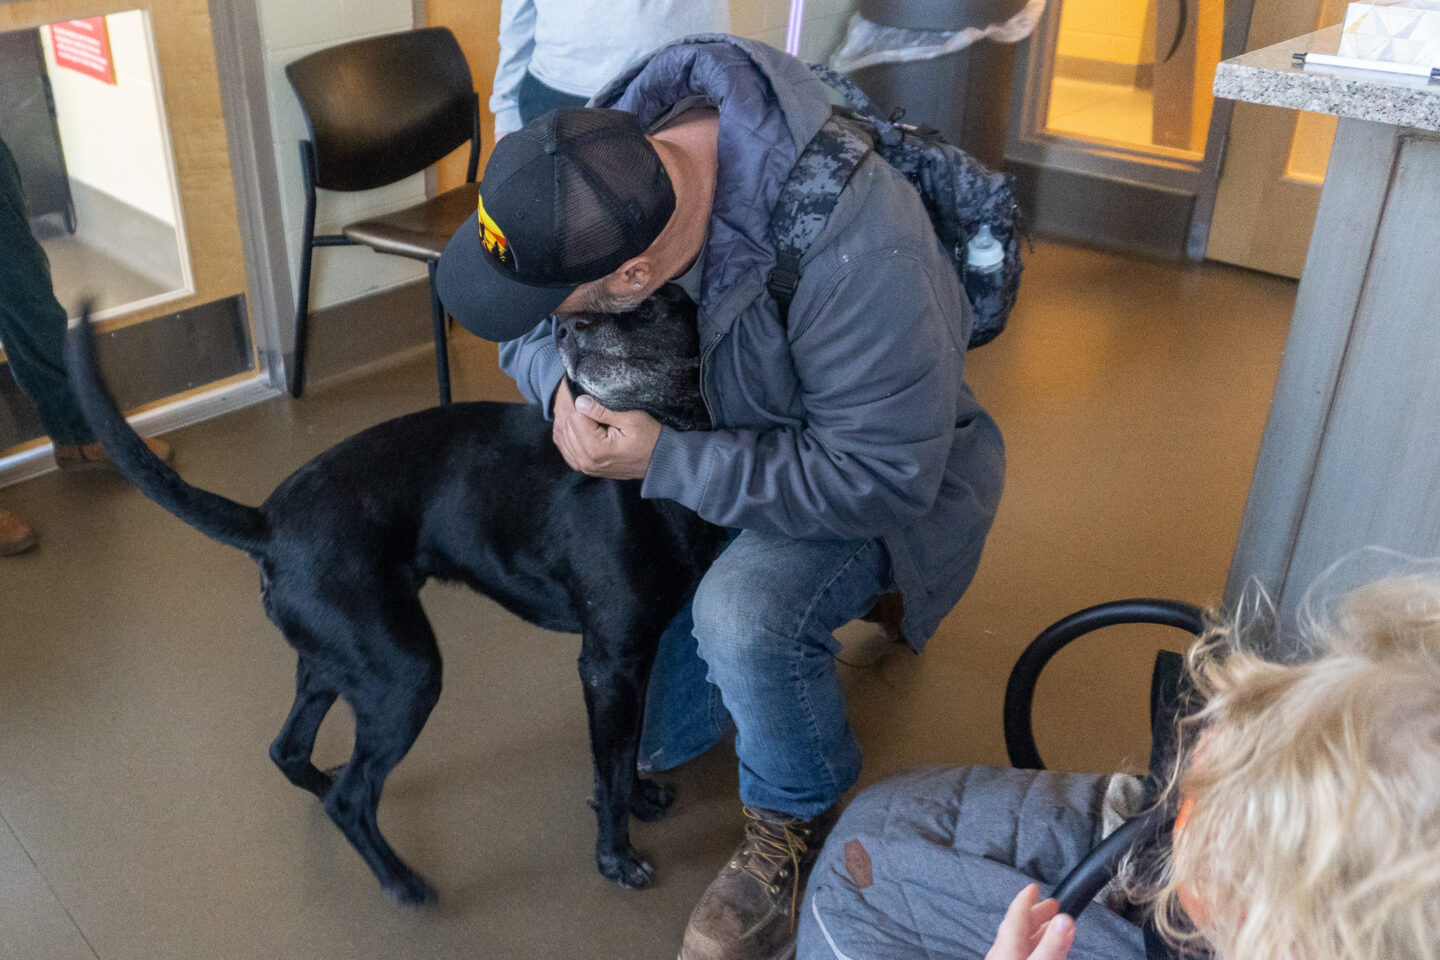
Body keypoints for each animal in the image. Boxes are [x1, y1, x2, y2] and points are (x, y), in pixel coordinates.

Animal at [65, 283, 723, 906]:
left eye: (653, 305)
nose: (562, 325)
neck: (657, 460)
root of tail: (267, 523)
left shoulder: (631, 661)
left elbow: (621, 754)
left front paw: (636, 798)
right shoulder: (608, 665)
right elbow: (610, 772)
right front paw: (615, 857)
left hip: (339, 662)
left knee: (289, 751)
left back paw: (327, 792)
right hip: (406, 675)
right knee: (351, 797)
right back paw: (401, 880)